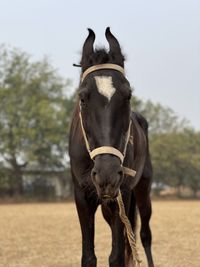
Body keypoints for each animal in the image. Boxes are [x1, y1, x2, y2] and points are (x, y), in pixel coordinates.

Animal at [69, 28, 155, 266]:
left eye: (128, 95)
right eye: (83, 97)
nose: (106, 174)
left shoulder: (122, 194)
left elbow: (116, 256)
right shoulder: (82, 197)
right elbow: (89, 256)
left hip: (142, 189)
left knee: (144, 235)